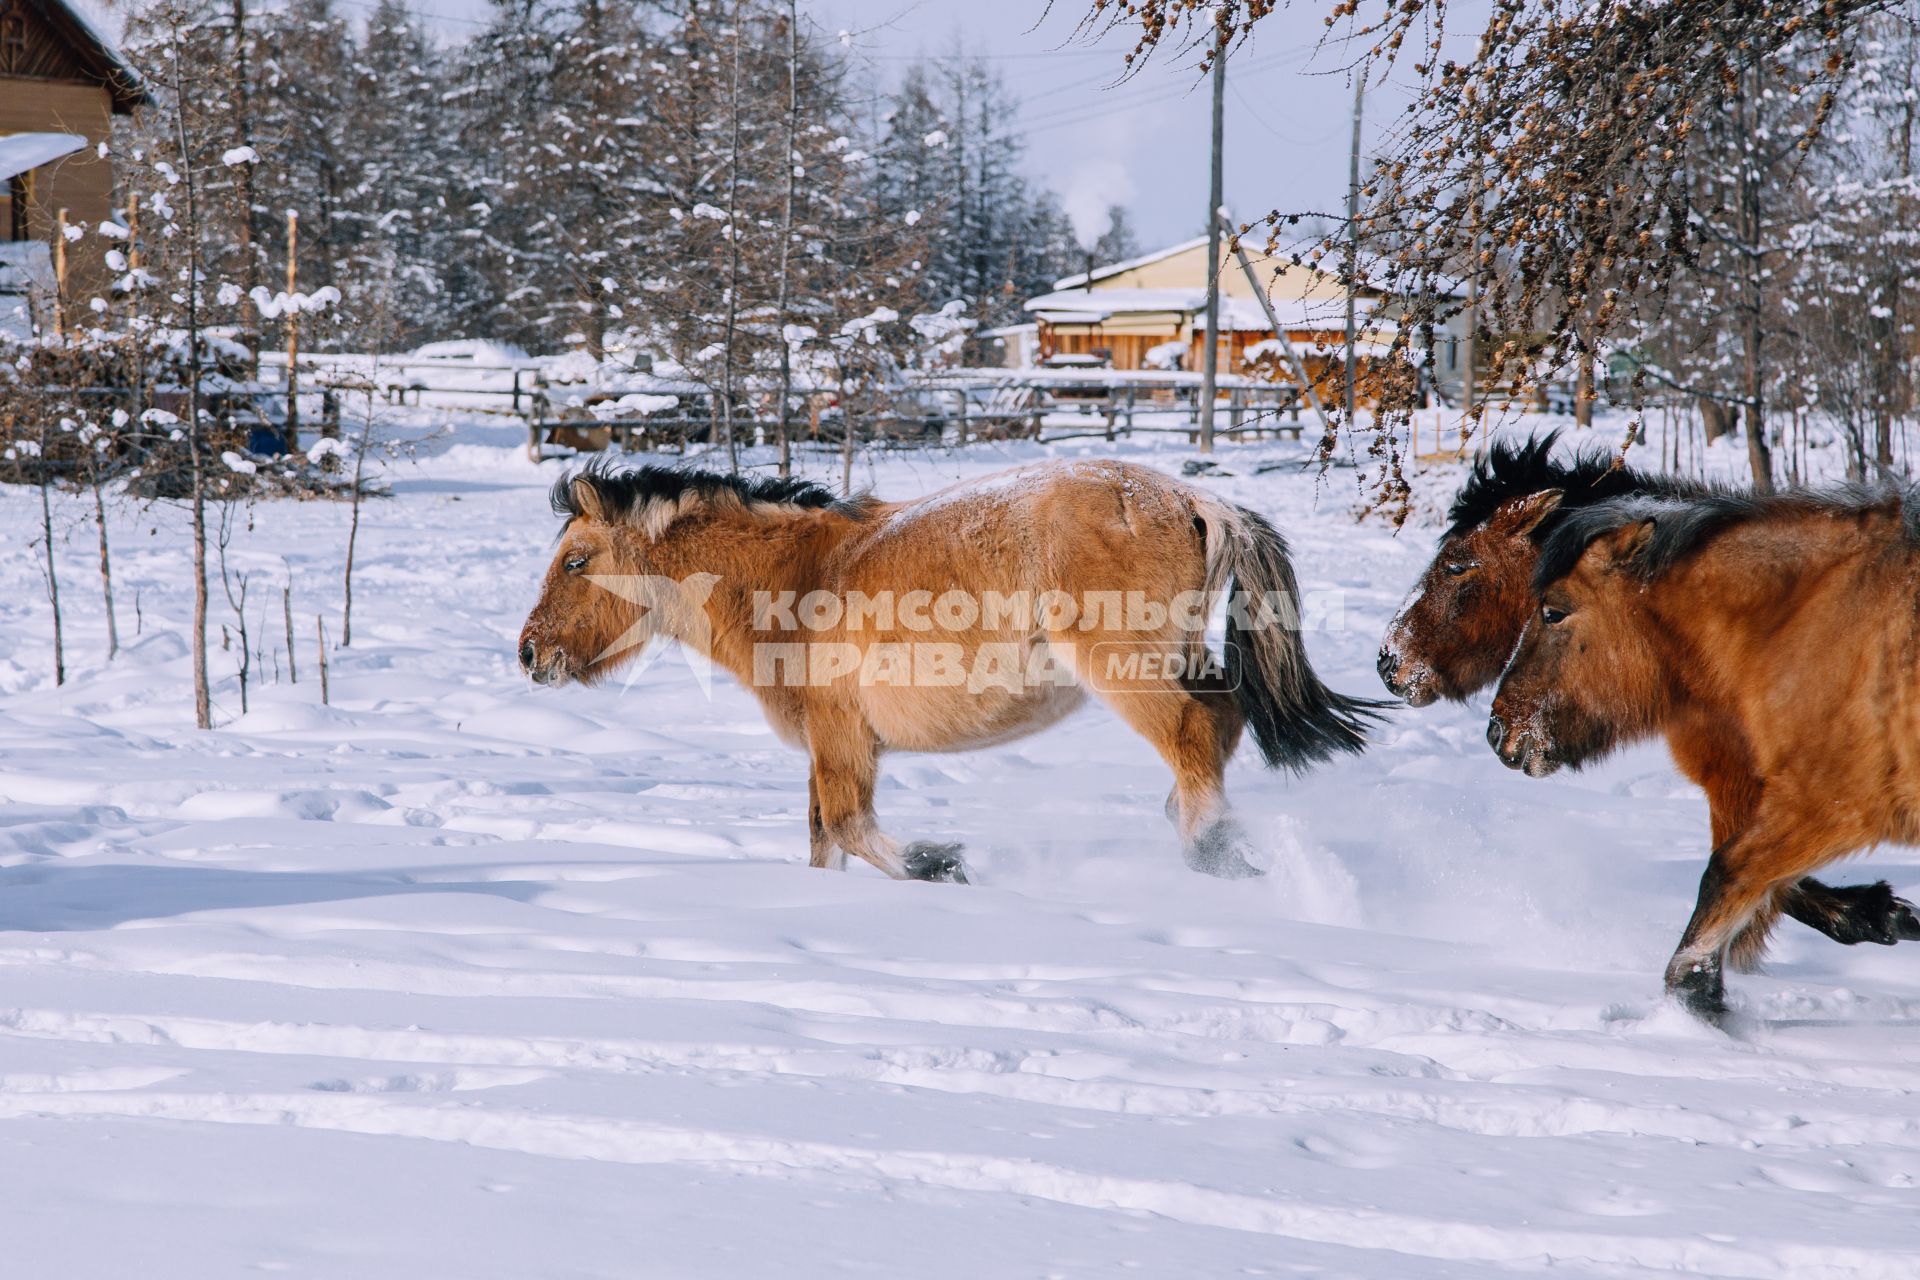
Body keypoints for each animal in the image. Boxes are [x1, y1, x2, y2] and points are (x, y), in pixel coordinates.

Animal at [510, 458, 1382, 882]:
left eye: (577, 560)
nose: (528, 653)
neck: (797, 578)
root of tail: (1195, 499)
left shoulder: (843, 741)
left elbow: (852, 829)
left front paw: (943, 864)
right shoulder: (831, 748)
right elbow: (824, 841)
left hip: (1125, 670)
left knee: (1196, 734)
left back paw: (1211, 852)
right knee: (1220, 726)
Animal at [1489, 485, 1920, 1028]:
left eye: (1553, 611)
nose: (1498, 730)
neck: (1805, 619)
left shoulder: (1830, 802)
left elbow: (1727, 874)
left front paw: (1697, 996)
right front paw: (1879, 913)